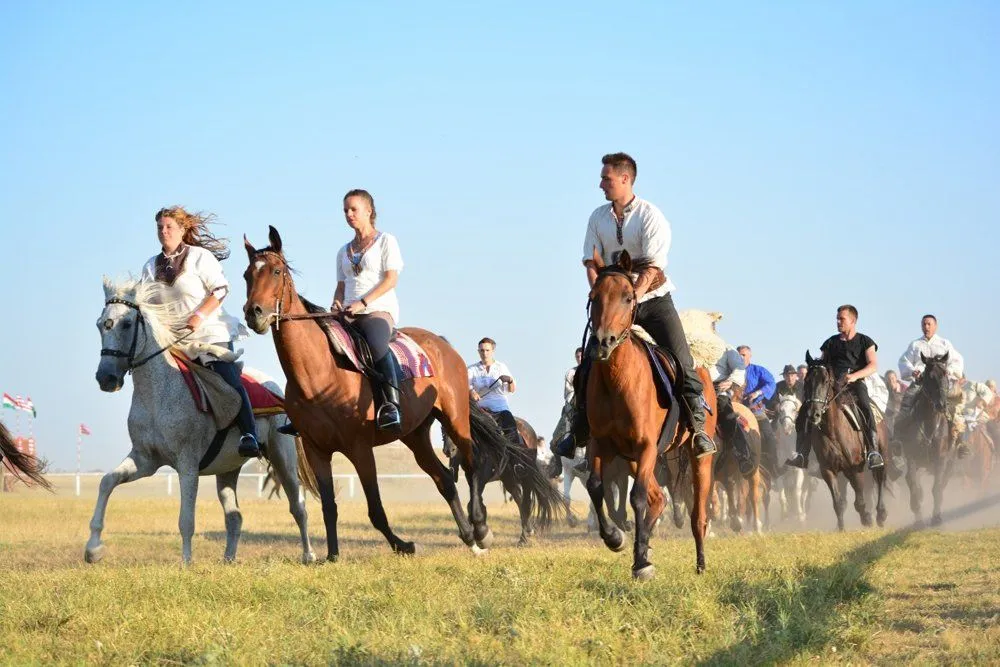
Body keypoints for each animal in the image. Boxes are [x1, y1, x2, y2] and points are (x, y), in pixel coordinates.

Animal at [92, 277, 315, 564]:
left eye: (127, 323)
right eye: (100, 324)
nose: (106, 378)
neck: (158, 393)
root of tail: (275, 386)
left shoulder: (187, 464)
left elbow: (186, 519)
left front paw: (186, 563)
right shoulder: (146, 460)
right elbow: (106, 482)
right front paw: (93, 549)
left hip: (282, 458)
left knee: (298, 507)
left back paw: (308, 555)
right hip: (228, 468)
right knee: (234, 516)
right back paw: (228, 559)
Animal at [242, 226, 559, 560]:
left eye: (276, 271)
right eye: (247, 274)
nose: (254, 313)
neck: (319, 373)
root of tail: (442, 345)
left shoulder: (359, 448)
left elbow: (375, 510)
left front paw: (403, 545)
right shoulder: (317, 450)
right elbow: (329, 506)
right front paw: (332, 556)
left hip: (455, 418)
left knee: (473, 468)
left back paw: (481, 529)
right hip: (415, 434)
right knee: (445, 480)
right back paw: (469, 537)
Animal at [584, 249, 716, 579]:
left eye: (628, 297)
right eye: (594, 297)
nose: (603, 343)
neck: (618, 380)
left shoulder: (646, 447)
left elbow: (638, 497)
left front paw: (641, 563)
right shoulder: (601, 444)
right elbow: (596, 487)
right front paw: (616, 539)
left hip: (696, 458)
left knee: (697, 515)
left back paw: (700, 563)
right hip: (632, 457)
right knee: (658, 499)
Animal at [801, 352, 888, 531]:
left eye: (825, 381)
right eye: (806, 381)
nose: (813, 414)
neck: (833, 431)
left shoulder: (854, 469)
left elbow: (860, 501)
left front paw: (867, 519)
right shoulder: (828, 470)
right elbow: (838, 503)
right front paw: (841, 529)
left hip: (881, 455)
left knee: (880, 478)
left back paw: (881, 514)